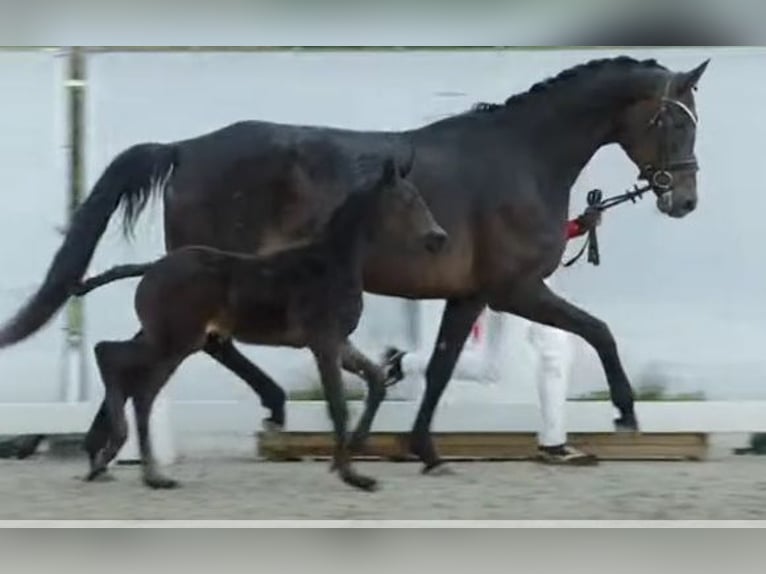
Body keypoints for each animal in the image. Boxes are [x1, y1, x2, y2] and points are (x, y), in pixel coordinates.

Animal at [84, 159, 448, 496]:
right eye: (407, 199)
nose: (438, 237)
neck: (333, 262)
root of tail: (151, 268)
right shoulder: (323, 341)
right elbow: (338, 406)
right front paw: (353, 476)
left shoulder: (341, 341)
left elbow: (376, 381)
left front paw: (354, 449)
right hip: (175, 340)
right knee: (115, 361)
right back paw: (125, 460)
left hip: (173, 340)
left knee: (133, 382)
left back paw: (136, 470)